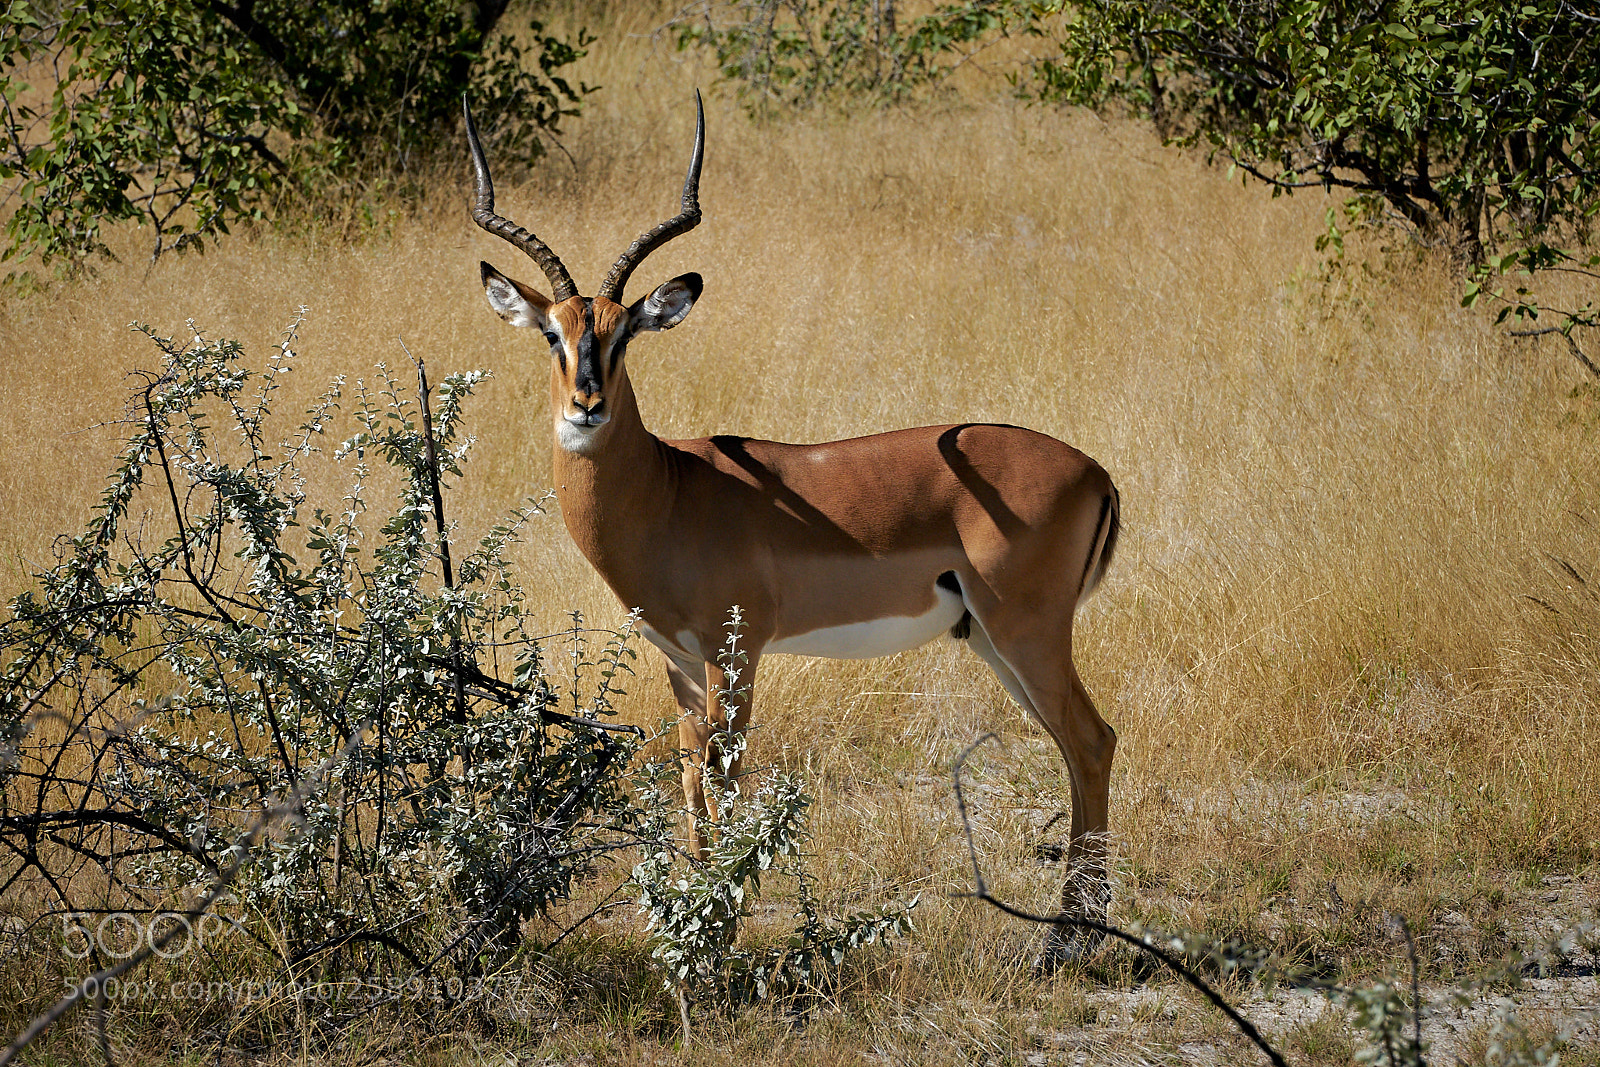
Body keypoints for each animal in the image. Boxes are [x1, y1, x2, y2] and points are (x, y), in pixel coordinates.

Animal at [464, 94, 1122, 966]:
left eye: (623, 333)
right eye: (554, 333)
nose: (586, 405)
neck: (670, 492)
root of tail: (1097, 470)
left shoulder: (736, 654)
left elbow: (725, 777)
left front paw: (720, 927)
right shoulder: (681, 663)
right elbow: (688, 776)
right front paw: (688, 918)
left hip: (1028, 631)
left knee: (1092, 740)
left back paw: (1067, 941)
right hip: (990, 638)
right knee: (1075, 750)